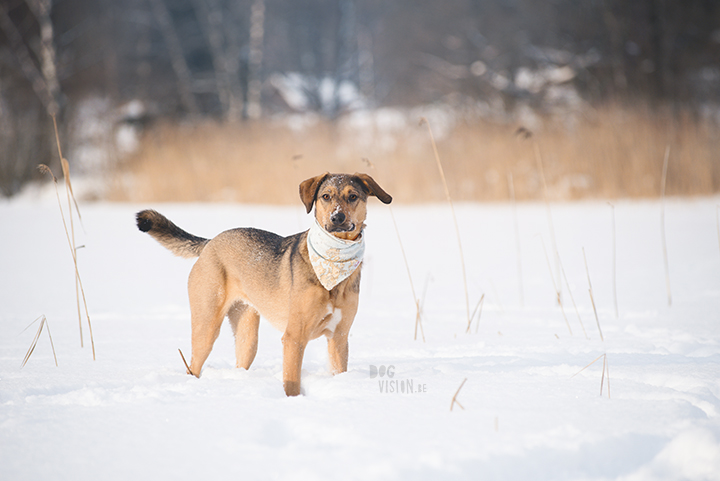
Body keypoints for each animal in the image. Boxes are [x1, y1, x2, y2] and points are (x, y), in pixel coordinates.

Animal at [135, 172, 394, 394]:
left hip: (247, 336)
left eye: (353, 196)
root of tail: (211, 242)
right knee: (193, 366)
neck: (333, 262)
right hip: (206, 326)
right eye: (326, 196)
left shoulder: (339, 338)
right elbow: (292, 382)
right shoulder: (294, 338)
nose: (337, 218)